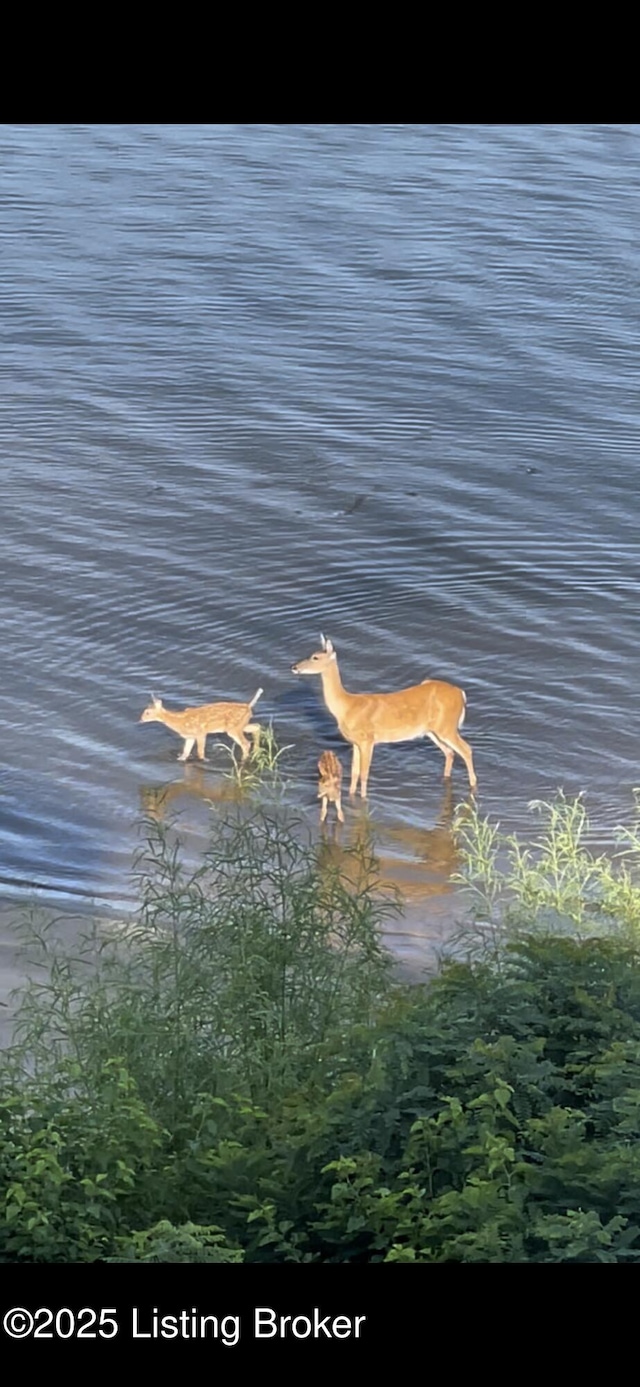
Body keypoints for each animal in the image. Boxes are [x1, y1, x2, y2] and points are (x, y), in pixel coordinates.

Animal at [291, 635, 477, 798]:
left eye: (315, 657)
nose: (294, 667)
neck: (346, 707)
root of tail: (461, 694)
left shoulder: (368, 739)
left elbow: (364, 774)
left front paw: (363, 799)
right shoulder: (355, 742)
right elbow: (354, 773)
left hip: (447, 726)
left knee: (466, 749)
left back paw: (473, 785)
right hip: (433, 730)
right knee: (450, 753)